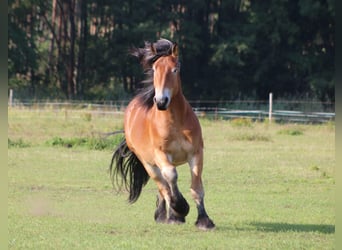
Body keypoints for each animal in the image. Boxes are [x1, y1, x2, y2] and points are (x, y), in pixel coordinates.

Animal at [109, 38, 215, 229]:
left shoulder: (196, 154)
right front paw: (181, 208)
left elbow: (196, 188)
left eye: (175, 69)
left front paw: (204, 220)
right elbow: (171, 177)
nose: (160, 101)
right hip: (149, 164)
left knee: (165, 185)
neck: (175, 123)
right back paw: (171, 214)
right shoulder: (161, 155)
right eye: (154, 70)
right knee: (164, 185)